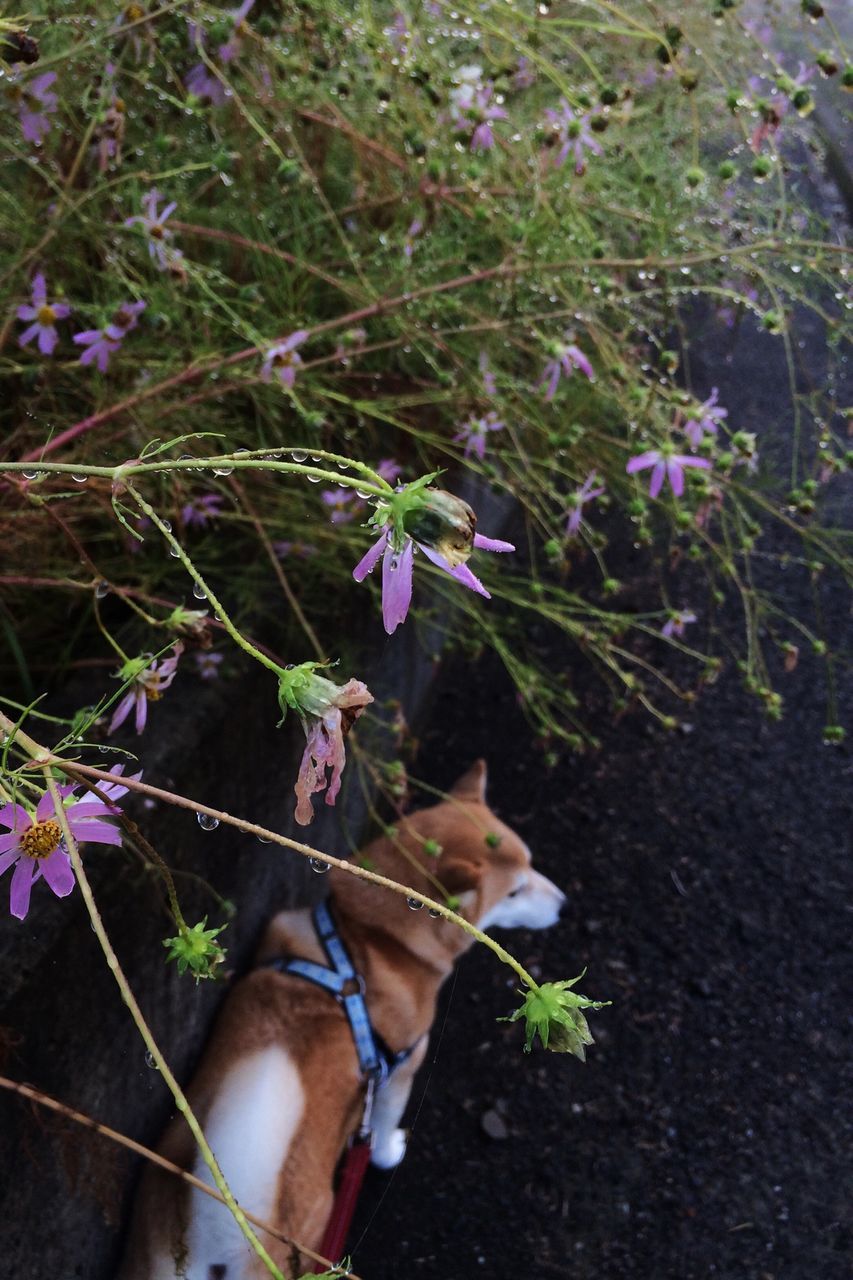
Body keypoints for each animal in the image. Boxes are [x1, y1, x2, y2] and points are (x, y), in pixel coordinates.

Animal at [116, 757, 560, 1280]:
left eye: (531, 864)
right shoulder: (403, 1069)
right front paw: (390, 1151)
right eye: (514, 892)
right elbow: (386, 1125)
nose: (562, 903)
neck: (364, 939)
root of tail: (219, 1230)